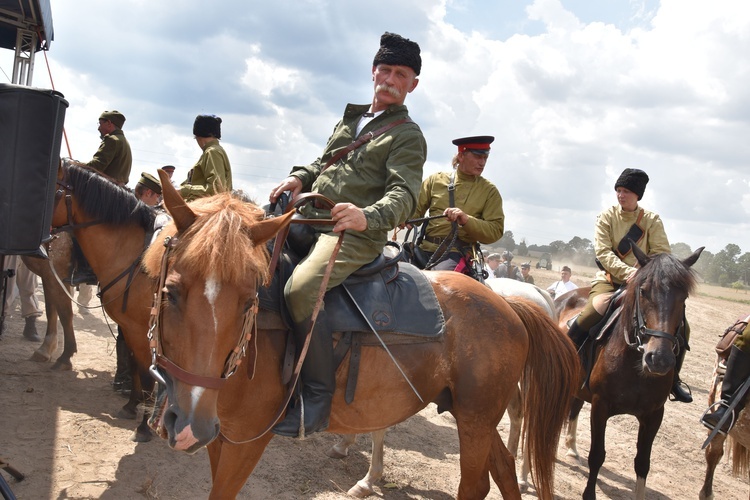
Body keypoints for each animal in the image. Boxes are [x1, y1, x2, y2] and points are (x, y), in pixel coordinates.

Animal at [52, 161, 161, 442]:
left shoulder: (143, 332)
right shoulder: (129, 328)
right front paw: (131, 406)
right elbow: (134, 365)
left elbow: (147, 374)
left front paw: (144, 427)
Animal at [560, 247, 704, 500]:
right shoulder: (600, 406)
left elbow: (642, 463)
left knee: (574, 408)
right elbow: (597, 455)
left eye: (683, 297)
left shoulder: (654, 415)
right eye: (644, 292)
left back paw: (571, 448)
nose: (659, 359)